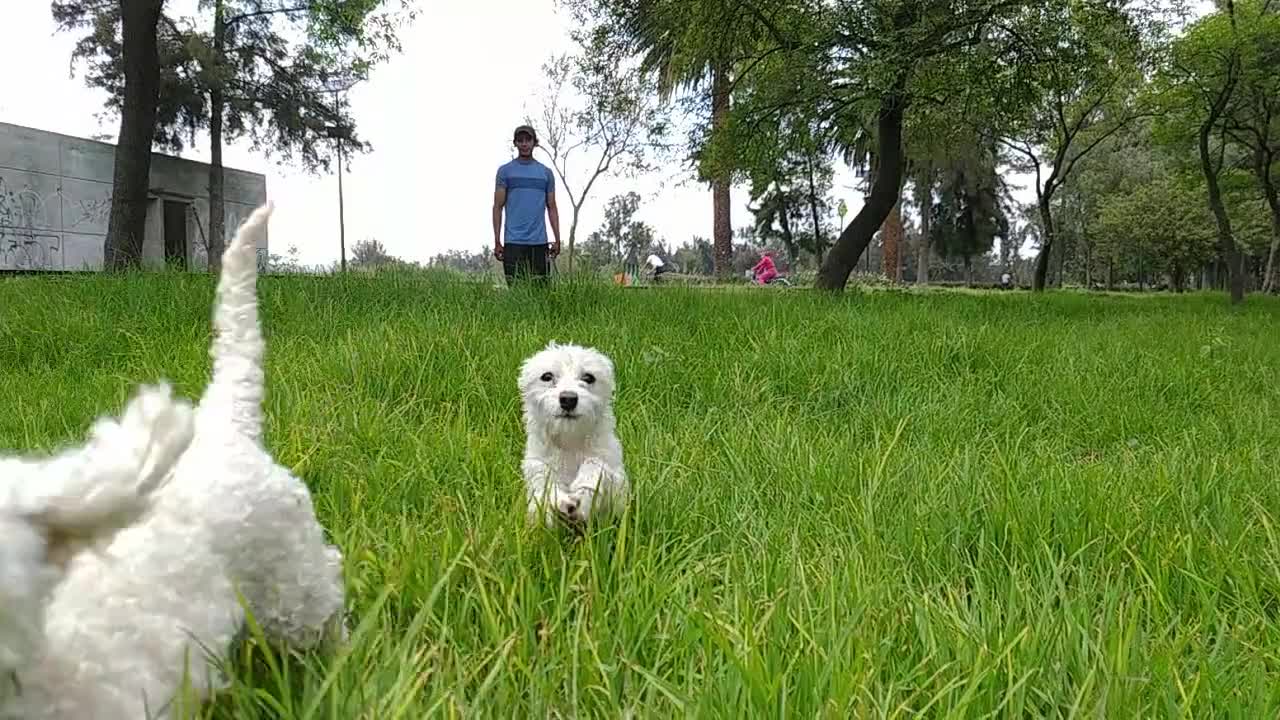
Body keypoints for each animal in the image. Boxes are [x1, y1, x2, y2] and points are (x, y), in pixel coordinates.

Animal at [514, 338, 624, 525]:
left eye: (588, 377)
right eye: (547, 376)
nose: (568, 399)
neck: (569, 442)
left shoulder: (619, 494)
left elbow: (595, 464)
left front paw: (583, 490)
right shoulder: (537, 472)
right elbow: (545, 486)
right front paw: (561, 500)